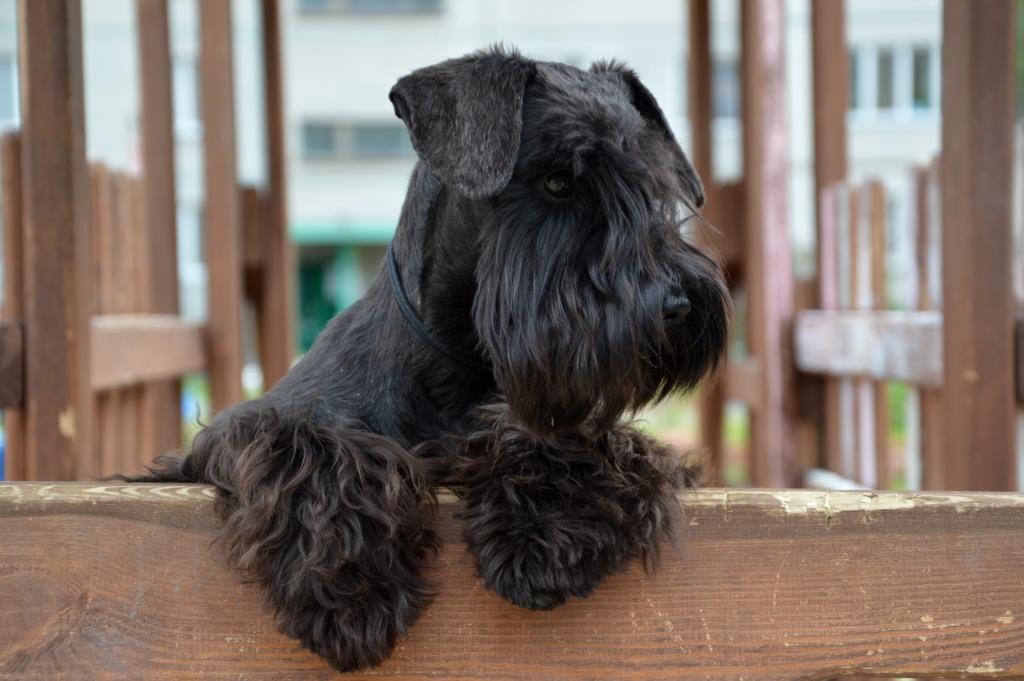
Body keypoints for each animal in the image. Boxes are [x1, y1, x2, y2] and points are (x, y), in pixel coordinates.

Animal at [132, 46, 729, 667]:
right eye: (558, 180)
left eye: (653, 184)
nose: (678, 304)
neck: (455, 364)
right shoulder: (244, 431)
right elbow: (305, 447)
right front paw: (353, 591)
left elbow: (570, 441)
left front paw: (546, 531)